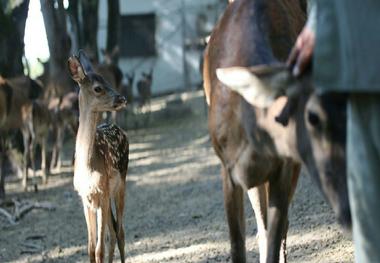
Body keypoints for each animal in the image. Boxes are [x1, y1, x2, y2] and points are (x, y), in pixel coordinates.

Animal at [70, 50, 131, 263]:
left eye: (107, 80)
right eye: (98, 88)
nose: (122, 98)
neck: (88, 167)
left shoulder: (102, 192)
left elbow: (99, 249)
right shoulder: (85, 197)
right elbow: (90, 248)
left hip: (121, 182)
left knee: (119, 232)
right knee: (113, 232)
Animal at [205, 0, 350, 263]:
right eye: (313, 117)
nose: (348, 209)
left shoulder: (284, 167)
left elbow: (274, 235)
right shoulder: (228, 169)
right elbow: (237, 245)